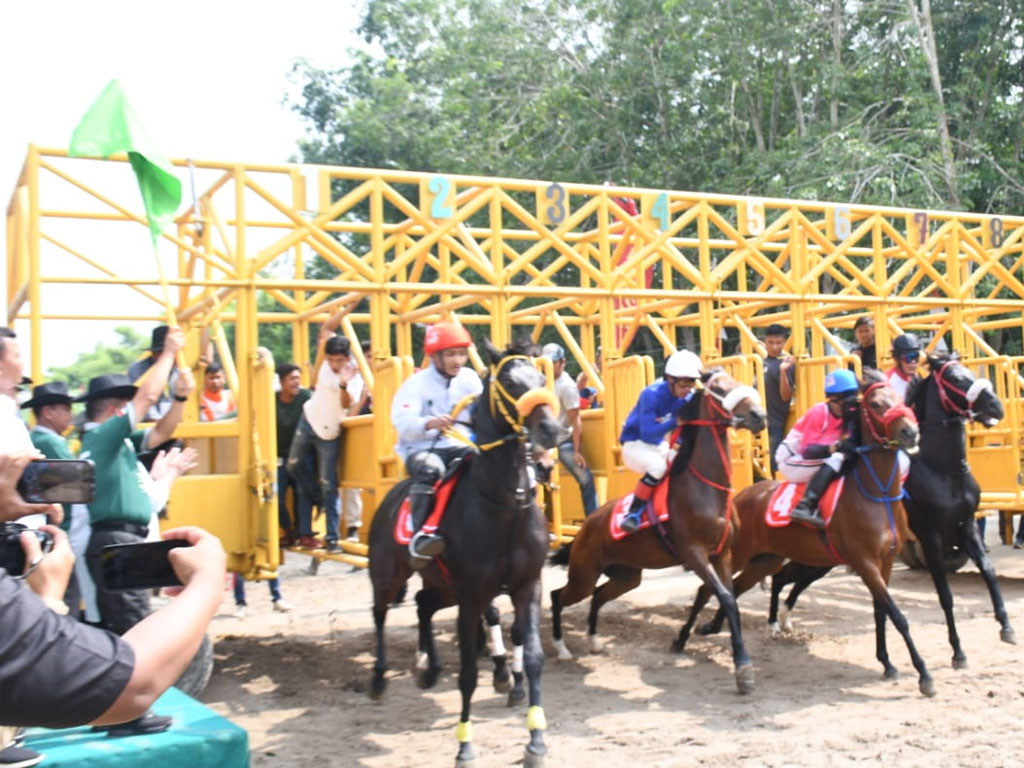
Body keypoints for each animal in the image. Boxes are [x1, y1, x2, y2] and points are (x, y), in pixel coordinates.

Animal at [368, 342, 561, 768]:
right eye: (510, 382)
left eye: (541, 377)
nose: (551, 429)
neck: (504, 505)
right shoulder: (473, 593)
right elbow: (470, 672)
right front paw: (465, 746)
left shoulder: (526, 586)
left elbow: (534, 656)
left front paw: (536, 740)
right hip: (388, 575)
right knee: (380, 613)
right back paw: (377, 679)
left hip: (444, 584)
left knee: (423, 602)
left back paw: (428, 668)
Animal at [548, 370, 765, 696]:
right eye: (717, 387)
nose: (758, 415)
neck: (707, 488)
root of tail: (586, 525)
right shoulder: (695, 554)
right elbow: (726, 598)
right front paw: (742, 668)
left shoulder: (722, 554)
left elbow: (729, 600)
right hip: (583, 574)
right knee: (558, 596)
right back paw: (560, 647)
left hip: (626, 576)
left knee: (598, 596)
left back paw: (595, 641)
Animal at [675, 372, 937, 696]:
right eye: (876, 404)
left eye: (901, 399)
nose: (910, 432)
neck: (876, 493)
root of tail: (741, 496)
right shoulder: (864, 562)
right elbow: (898, 616)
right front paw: (924, 675)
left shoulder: (885, 562)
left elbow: (882, 612)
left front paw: (887, 663)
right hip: (737, 553)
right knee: (708, 589)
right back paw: (686, 637)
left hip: (767, 559)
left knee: (735, 588)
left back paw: (713, 627)